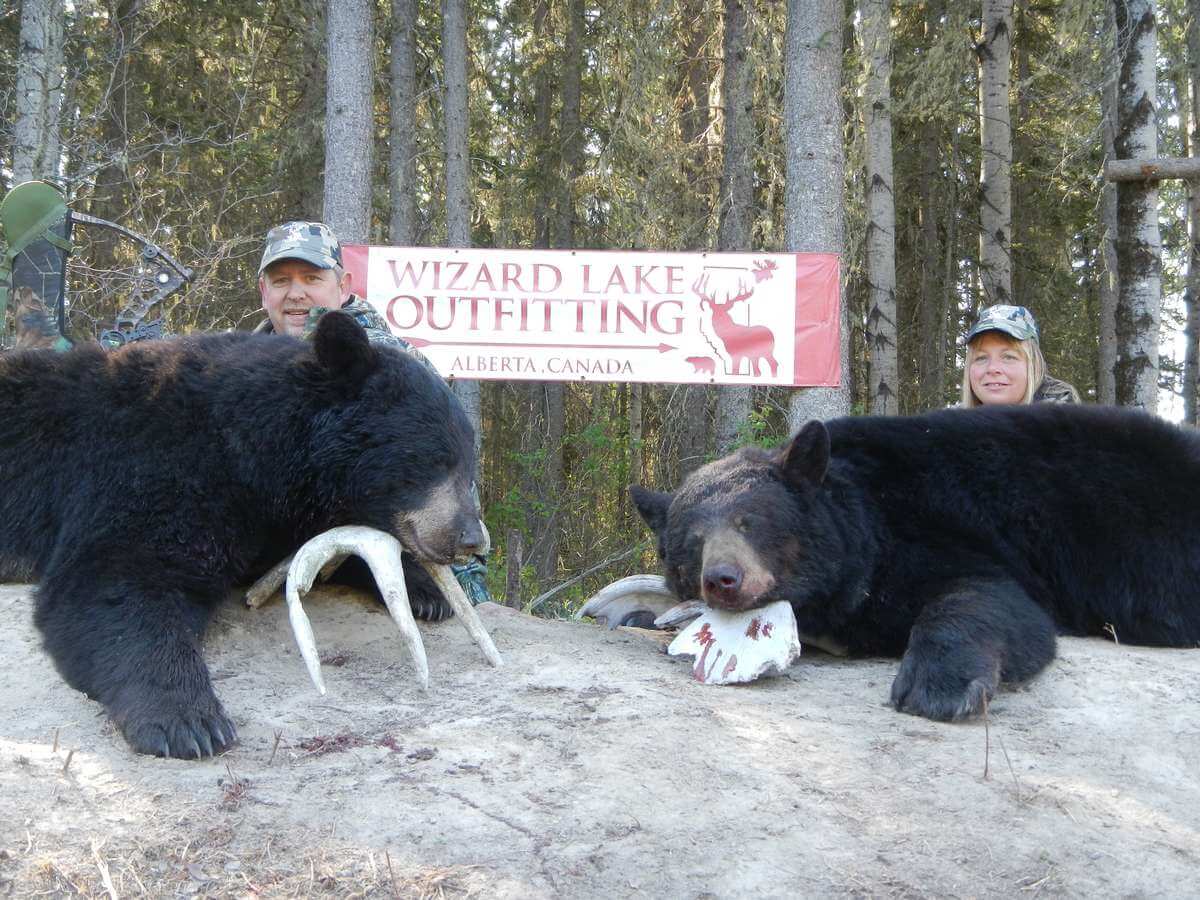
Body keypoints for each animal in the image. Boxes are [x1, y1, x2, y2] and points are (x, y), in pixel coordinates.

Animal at [0, 312, 484, 758]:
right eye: (433, 458)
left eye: (468, 463)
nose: (471, 538)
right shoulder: (150, 464)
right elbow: (115, 575)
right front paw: (188, 719)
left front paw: (427, 592)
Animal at [630, 403, 1200, 720]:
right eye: (692, 542)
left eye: (750, 521)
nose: (723, 579)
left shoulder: (939, 527)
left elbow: (990, 598)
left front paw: (938, 685)